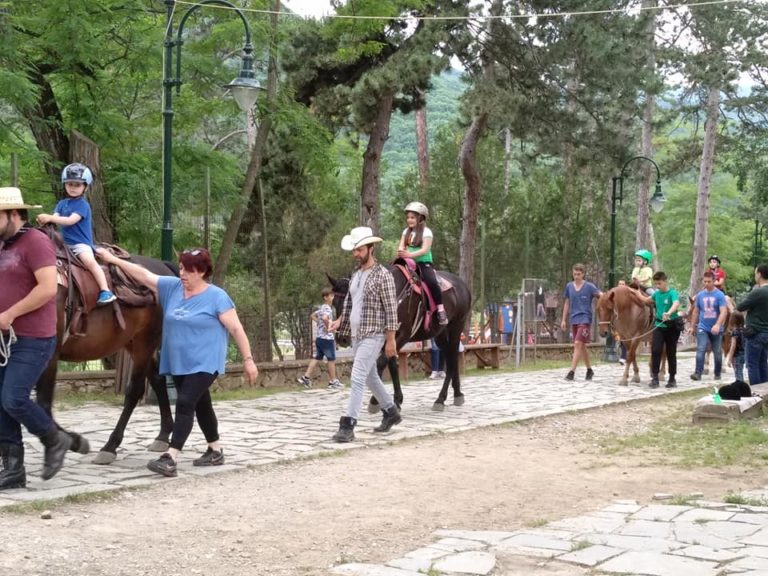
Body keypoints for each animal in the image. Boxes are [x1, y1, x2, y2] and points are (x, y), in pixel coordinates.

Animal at [34, 248, 176, 464]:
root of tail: (162, 268)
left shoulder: (48, 352)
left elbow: (42, 402)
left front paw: (73, 441)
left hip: (145, 343)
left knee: (135, 390)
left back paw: (110, 446)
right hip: (134, 343)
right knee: (158, 380)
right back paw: (162, 435)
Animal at [328, 260, 472, 410]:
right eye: (334, 303)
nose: (342, 338)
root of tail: (462, 285)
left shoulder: (403, 335)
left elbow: (381, 363)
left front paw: (375, 400)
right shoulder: (388, 338)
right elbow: (391, 365)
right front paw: (396, 399)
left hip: (456, 327)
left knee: (452, 360)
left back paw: (441, 398)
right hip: (440, 333)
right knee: (451, 358)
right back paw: (457, 394)